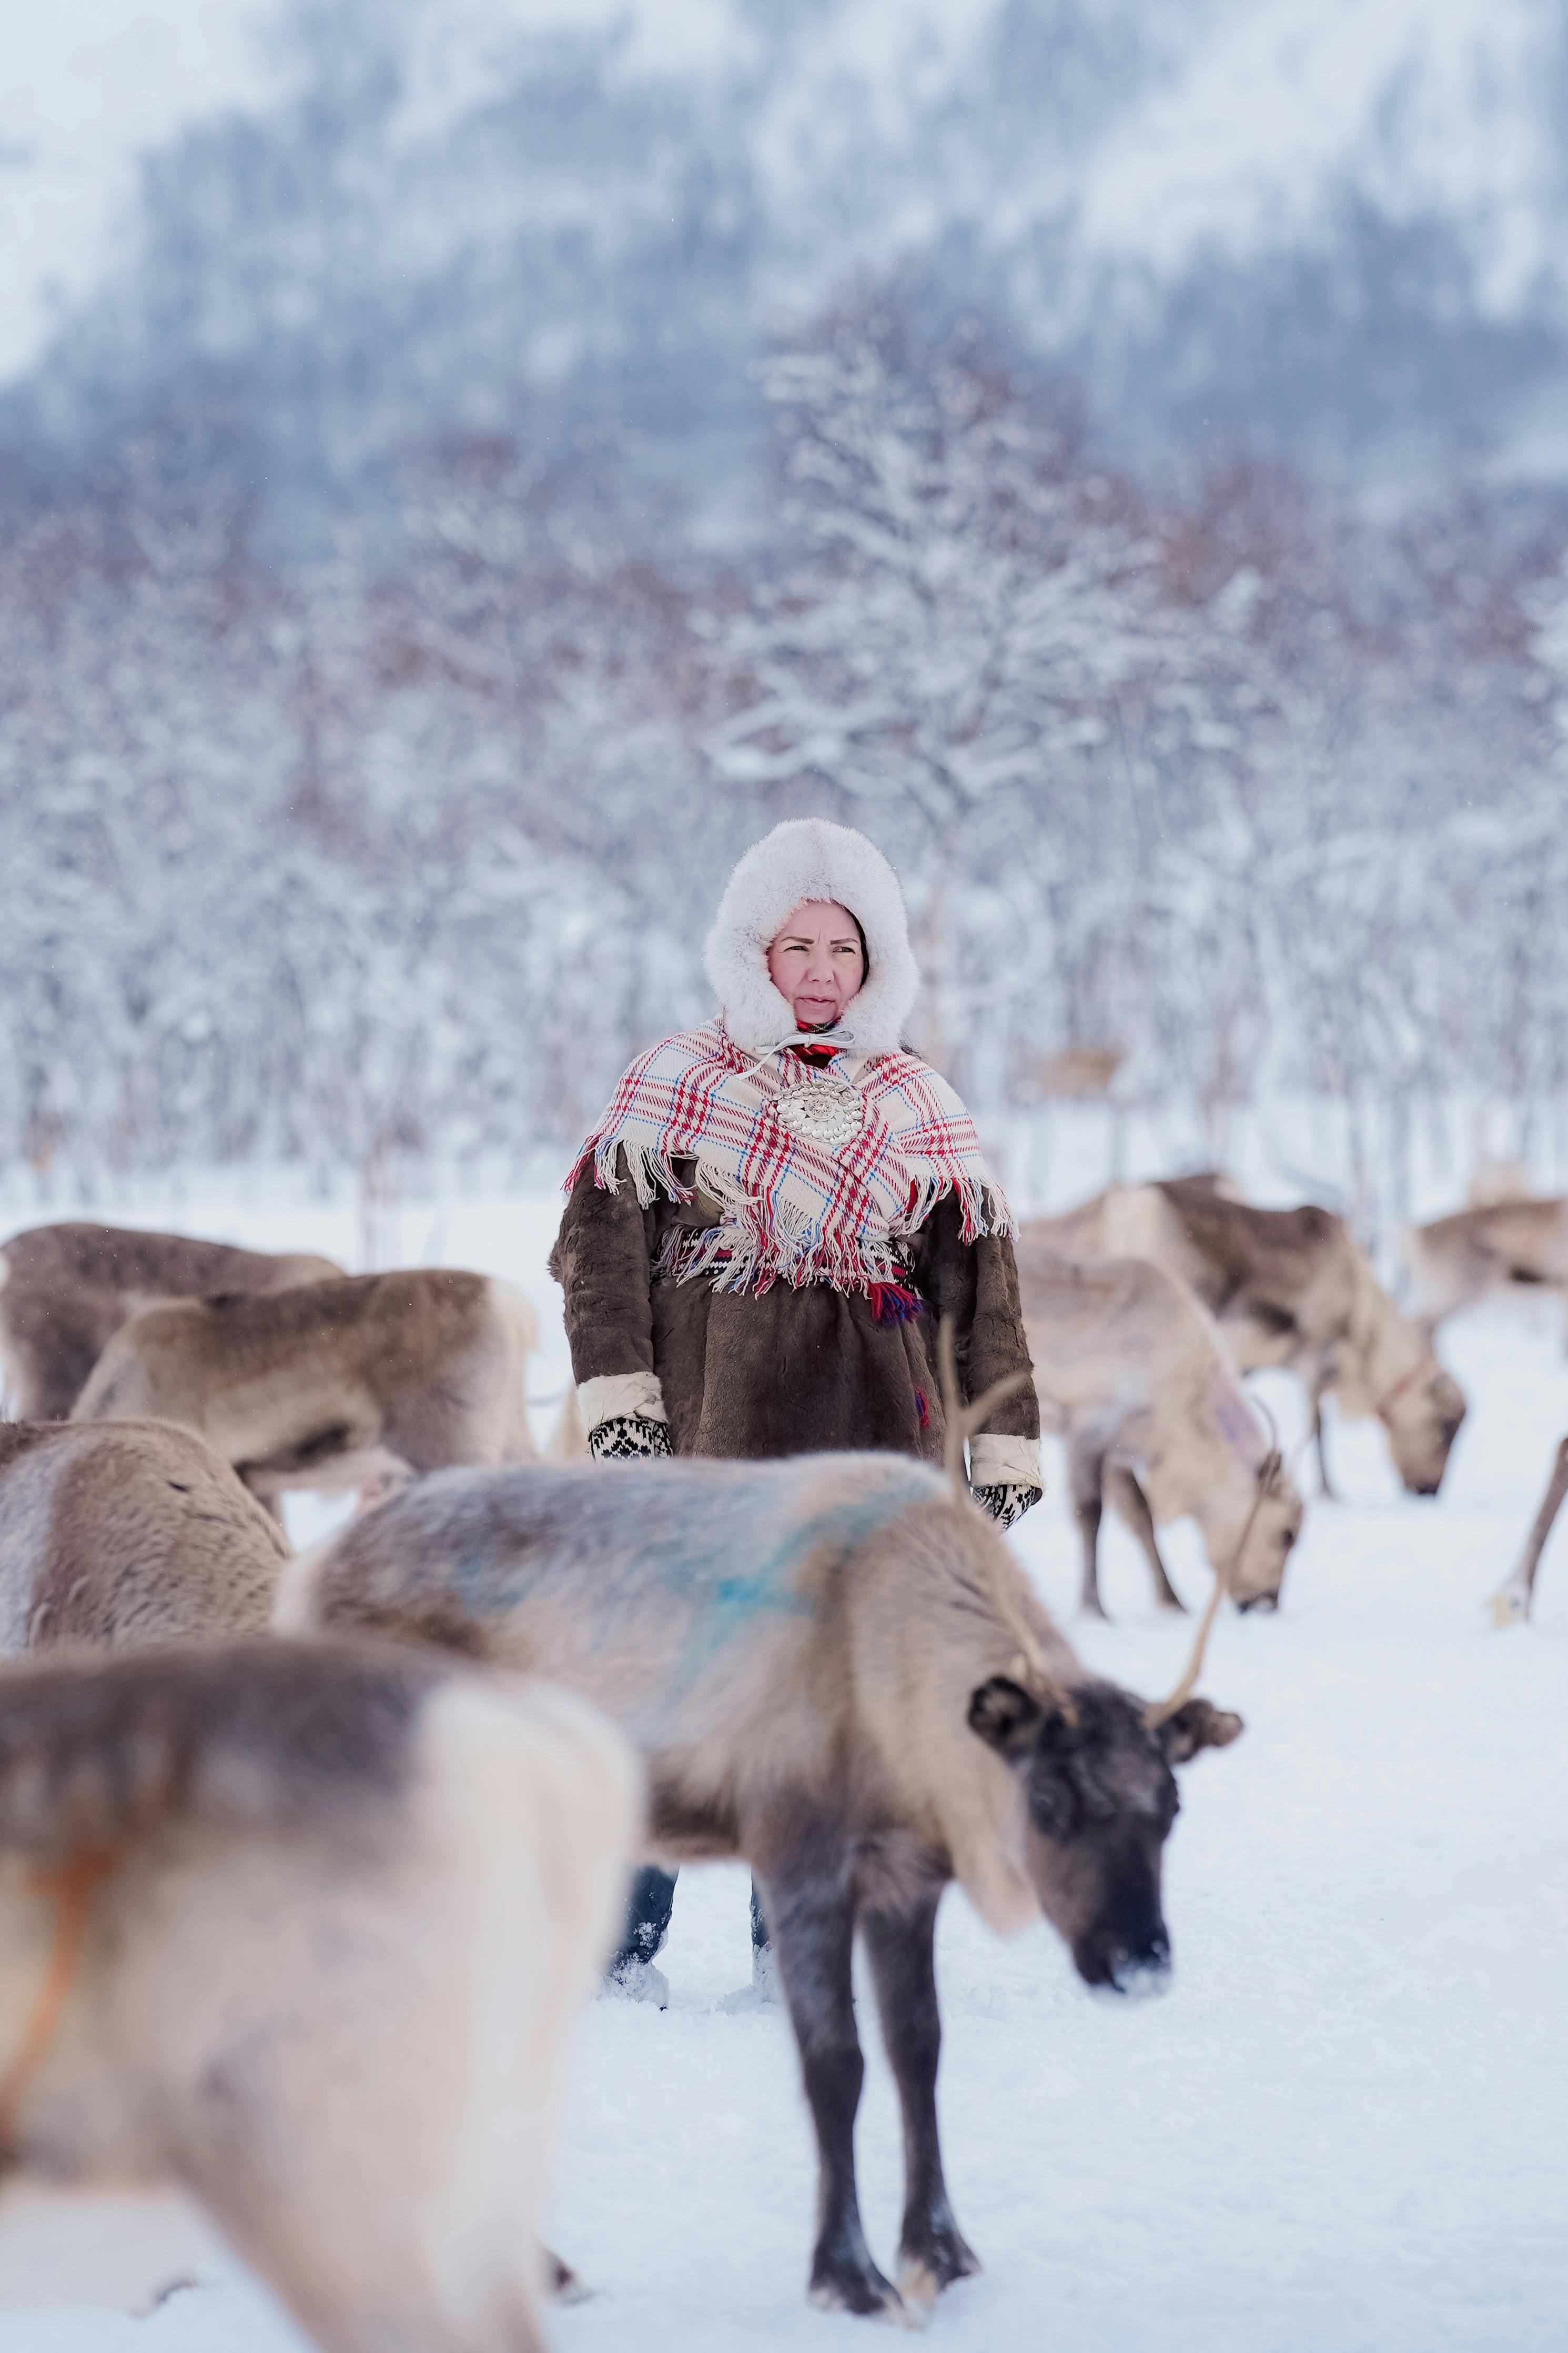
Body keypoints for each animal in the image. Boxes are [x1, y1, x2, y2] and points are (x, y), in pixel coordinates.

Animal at [278, 1344, 1251, 2326]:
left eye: (1171, 1806)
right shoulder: (796, 1854)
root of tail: (302, 1584)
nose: (1139, 1960)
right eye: (1046, 1801)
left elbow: (919, 2052)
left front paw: (940, 2255)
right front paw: (849, 2277)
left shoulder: (905, 1876)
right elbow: (835, 2064)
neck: (895, 1702)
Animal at [1015, 1242, 1303, 1618]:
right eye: (1287, 1534)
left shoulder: (1119, 1450)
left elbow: (1142, 1517)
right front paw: (1094, 1608)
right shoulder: (1086, 1427)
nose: (1266, 1603)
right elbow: (1090, 1515)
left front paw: (1173, 1601)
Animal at [1029, 1178, 1466, 1501]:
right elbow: (1317, 1424)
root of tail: (1133, 1202)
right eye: (1446, 1426)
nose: (1428, 1491)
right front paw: (1328, 1491)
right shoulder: (1314, 1353)